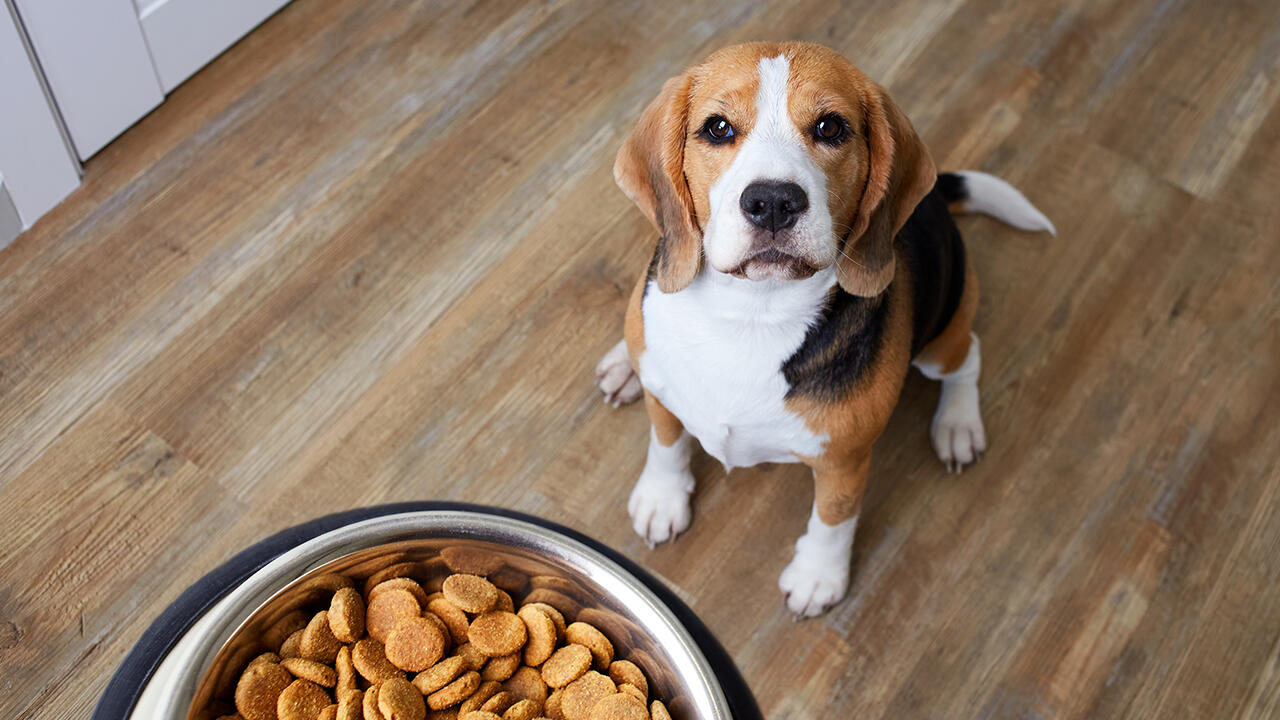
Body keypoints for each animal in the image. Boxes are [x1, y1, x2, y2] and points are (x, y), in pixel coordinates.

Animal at [593, 41, 1054, 614]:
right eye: (717, 128)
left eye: (831, 127)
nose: (772, 201)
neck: (750, 315)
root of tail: (934, 200)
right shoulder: (664, 392)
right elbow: (666, 441)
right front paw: (662, 497)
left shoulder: (844, 459)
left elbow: (834, 517)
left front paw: (818, 576)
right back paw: (621, 365)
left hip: (943, 335)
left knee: (968, 357)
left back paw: (958, 425)